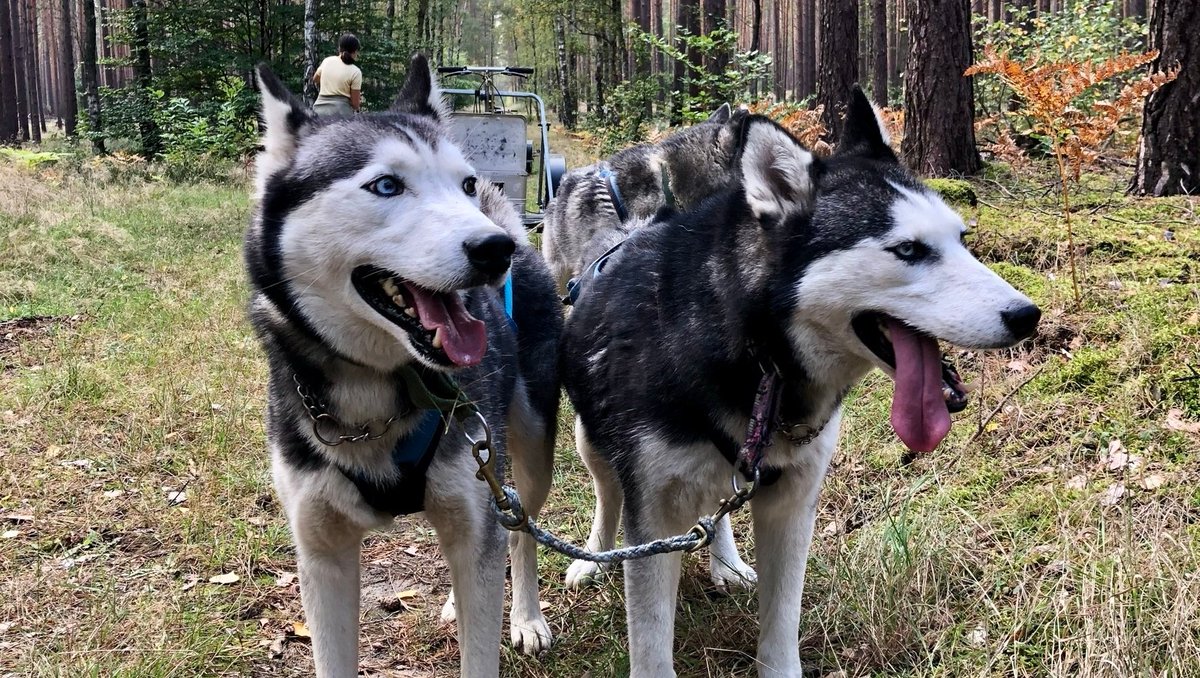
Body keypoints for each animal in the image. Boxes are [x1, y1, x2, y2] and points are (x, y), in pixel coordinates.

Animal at [247, 55, 561, 672]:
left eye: (464, 184)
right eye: (386, 185)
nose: (494, 249)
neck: (377, 388)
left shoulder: (479, 507)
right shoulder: (321, 553)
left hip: (528, 456)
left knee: (518, 530)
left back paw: (526, 616)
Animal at [561, 87, 1041, 672]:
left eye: (962, 239)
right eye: (908, 249)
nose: (1028, 316)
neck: (758, 360)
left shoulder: (791, 504)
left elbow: (782, 621)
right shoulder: (653, 509)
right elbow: (651, 645)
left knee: (715, 510)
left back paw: (725, 560)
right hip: (592, 443)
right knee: (607, 495)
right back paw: (594, 558)